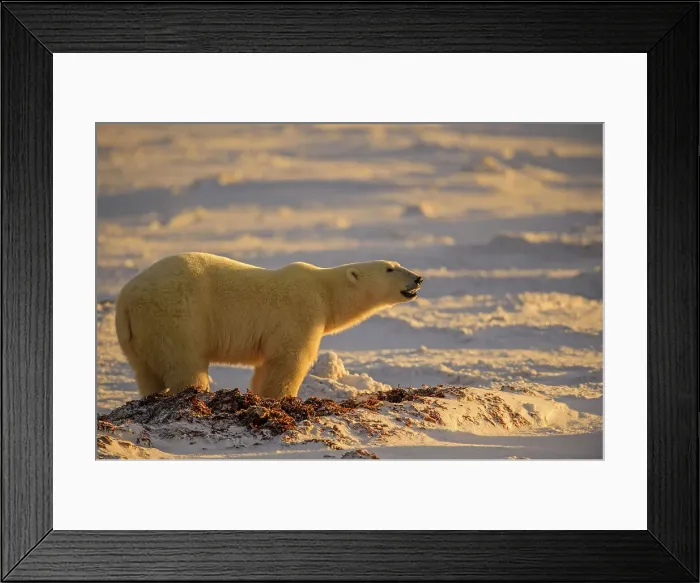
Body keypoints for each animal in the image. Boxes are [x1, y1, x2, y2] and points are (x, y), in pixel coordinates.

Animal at [115, 252, 423, 399]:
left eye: (397, 264)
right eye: (390, 268)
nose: (418, 278)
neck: (324, 291)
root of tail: (126, 298)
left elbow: (266, 366)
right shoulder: (300, 312)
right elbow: (289, 360)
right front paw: (285, 398)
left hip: (137, 336)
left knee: (146, 372)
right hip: (177, 317)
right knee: (185, 364)